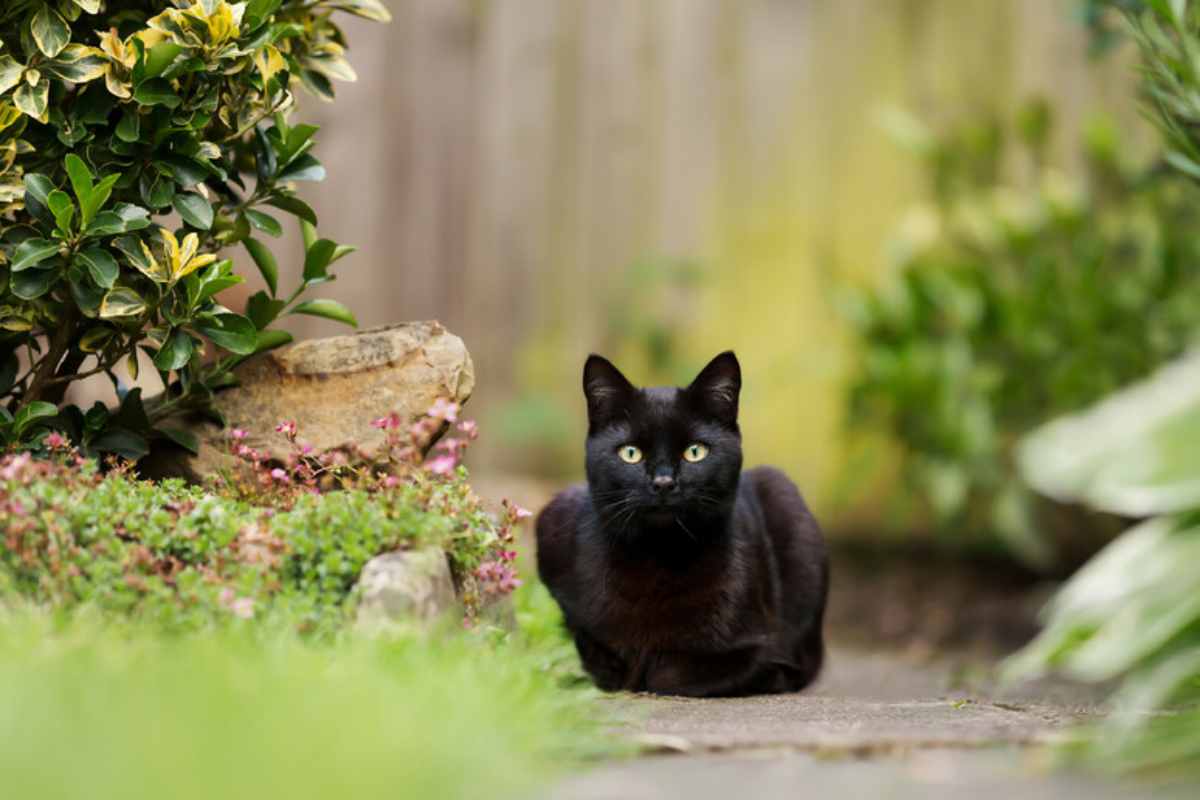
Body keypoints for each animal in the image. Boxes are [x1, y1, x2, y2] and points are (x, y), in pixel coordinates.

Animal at [535, 352, 825, 695]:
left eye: (695, 452)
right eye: (630, 453)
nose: (663, 482)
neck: (657, 558)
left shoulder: (761, 640)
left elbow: (672, 672)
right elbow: (593, 648)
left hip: (783, 492)